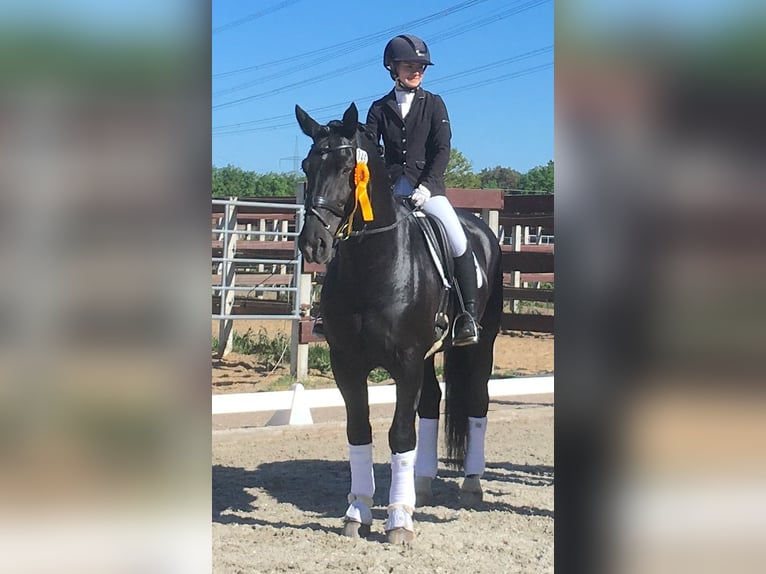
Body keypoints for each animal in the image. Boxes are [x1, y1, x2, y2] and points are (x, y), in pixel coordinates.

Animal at [295, 102, 502, 544]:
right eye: (307, 165)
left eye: (347, 168)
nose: (313, 244)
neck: (372, 265)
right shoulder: (346, 363)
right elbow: (359, 431)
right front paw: (358, 511)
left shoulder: (405, 361)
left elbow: (400, 433)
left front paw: (398, 522)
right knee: (431, 403)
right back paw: (420, 485)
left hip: (482, 344)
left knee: (477, 402)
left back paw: (471, 483)